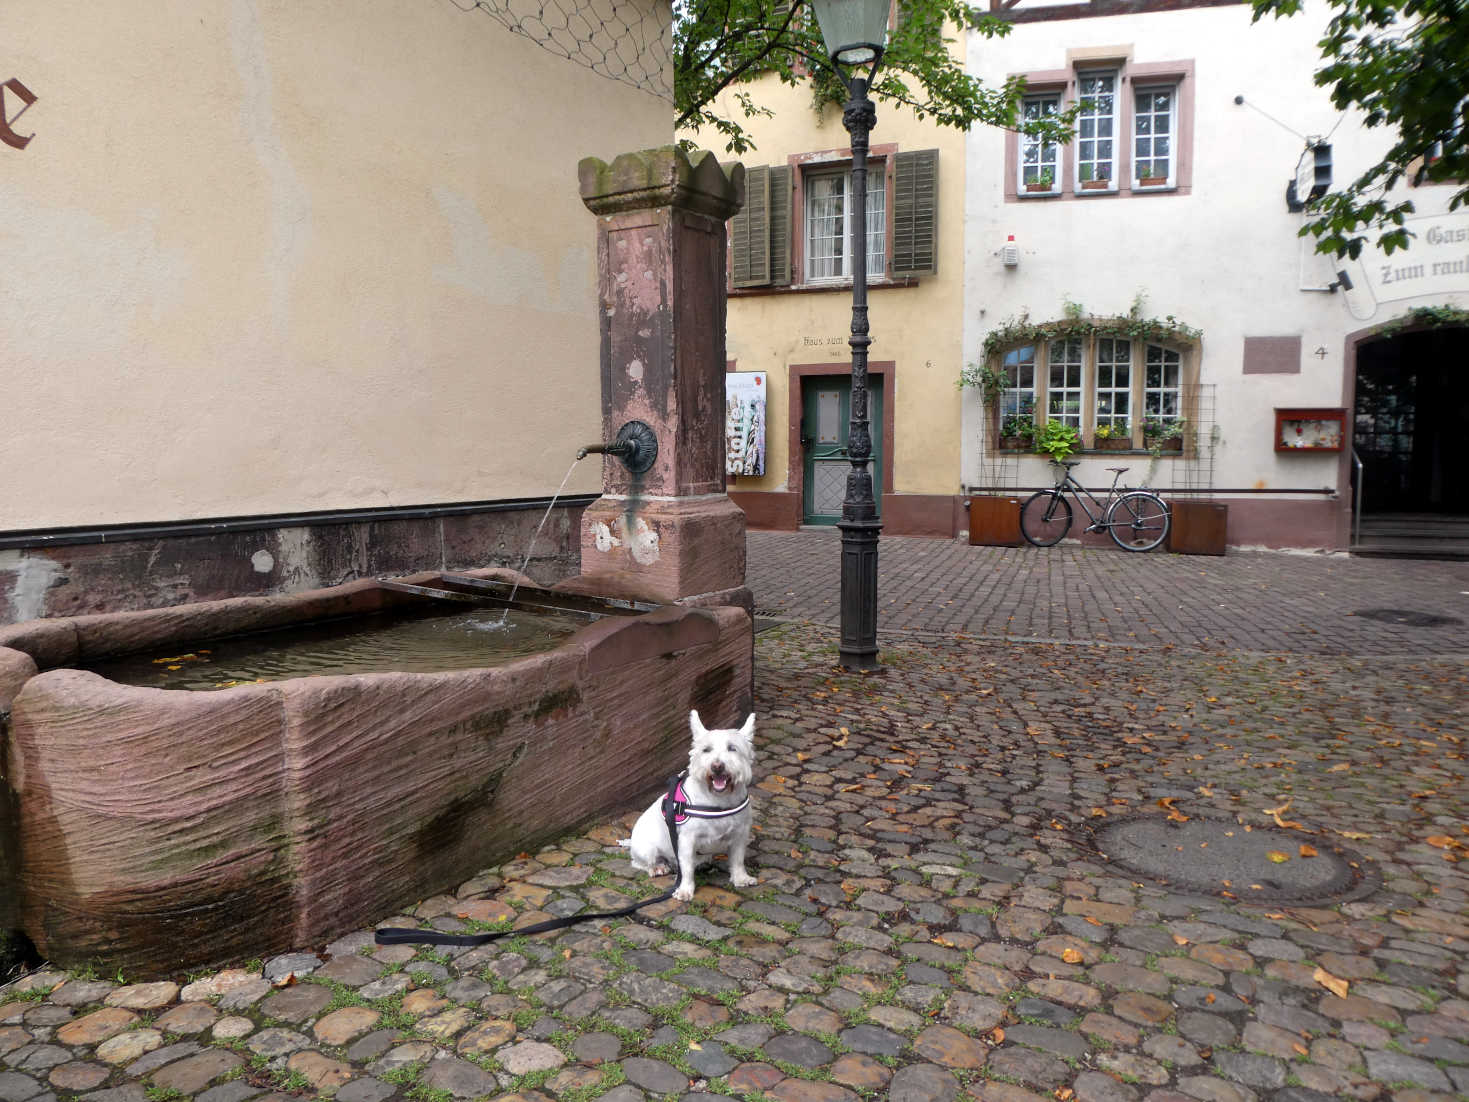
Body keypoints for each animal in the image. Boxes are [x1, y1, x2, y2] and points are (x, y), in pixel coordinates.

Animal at [619, 711, 758, 899]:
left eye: (732, 748)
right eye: (706, 749)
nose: (717, 766)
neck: (718, 800)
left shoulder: (740, 834)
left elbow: (737, 859)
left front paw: (741, 878)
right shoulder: (687, 840)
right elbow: (686, 867)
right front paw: (685, 890)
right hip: (647, 849)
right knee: (640, 862)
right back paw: (657, 867)